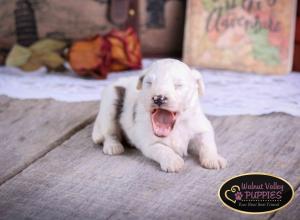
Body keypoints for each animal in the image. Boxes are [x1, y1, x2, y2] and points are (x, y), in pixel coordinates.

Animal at [92, 59, 226, 173]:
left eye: (178, 85)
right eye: (149, 83)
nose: (158, 98)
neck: (177, 126)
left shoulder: (200, 124)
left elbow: (207, 142)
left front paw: (213, 158)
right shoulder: (149, 142)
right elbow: (162, 149)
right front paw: (173, 161)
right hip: (110, 103)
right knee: (109, 133)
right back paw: (113, 146)